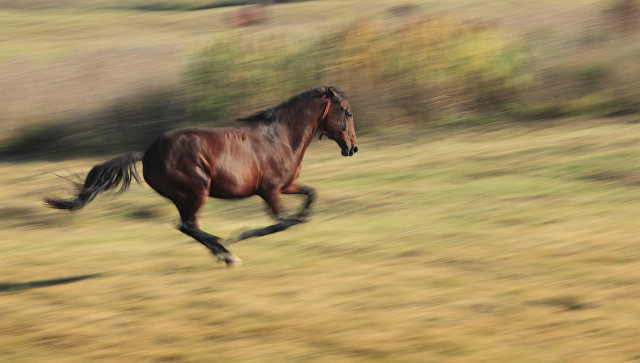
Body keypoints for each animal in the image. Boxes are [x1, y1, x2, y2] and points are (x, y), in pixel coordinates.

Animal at [45, 86, 358, 266]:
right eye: (348, 112)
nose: (353, 148)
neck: (279, 138)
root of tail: (147, 154)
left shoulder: (286, 185)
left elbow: (310, 197)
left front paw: (303, 217)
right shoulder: (269, 190)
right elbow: (282, 222)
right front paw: (241, 235)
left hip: (187, 195)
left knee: (186, 225)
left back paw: (221, 251)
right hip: (196, 190)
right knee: (186, 224)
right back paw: (225, 250)